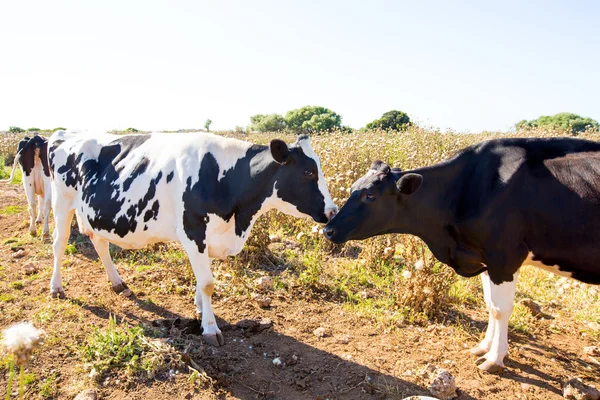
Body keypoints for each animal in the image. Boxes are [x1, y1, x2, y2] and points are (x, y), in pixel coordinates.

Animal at [48, 130, 338, 346]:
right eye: (308, 172)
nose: (333, 211)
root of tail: (64, 134)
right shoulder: (193, 229)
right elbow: (208, 283)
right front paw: (210, 328)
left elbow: (202, 281)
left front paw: (200, 310)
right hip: (62, 202)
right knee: (59, 243)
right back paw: (56, 287)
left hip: (94, 213)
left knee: (99, 241)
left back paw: (118, 283)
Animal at [324, 137, 600, 372]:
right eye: (353, 188)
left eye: (370, 195)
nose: (328, 229)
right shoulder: (483, 257)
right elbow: (489, 305)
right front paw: (483, 347)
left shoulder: (504, 257)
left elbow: (501, 309)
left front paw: (495, 358)